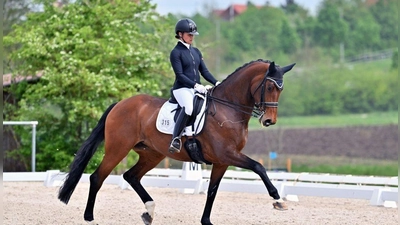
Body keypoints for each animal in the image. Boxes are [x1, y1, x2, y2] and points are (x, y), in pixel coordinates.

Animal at [59, 59, 296, 224]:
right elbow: (259, 167)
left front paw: (206, 221)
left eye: (281, 89)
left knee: (131, 176)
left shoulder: (222, 161)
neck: (228, 109)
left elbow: (212, 191)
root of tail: (120, 104)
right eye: (269, 87)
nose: (269, 120)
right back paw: (89, 217)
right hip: (118, 149)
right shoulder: (228, 155)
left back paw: (149, 212)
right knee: (97, 177)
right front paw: (278, 200)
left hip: (152, 154)